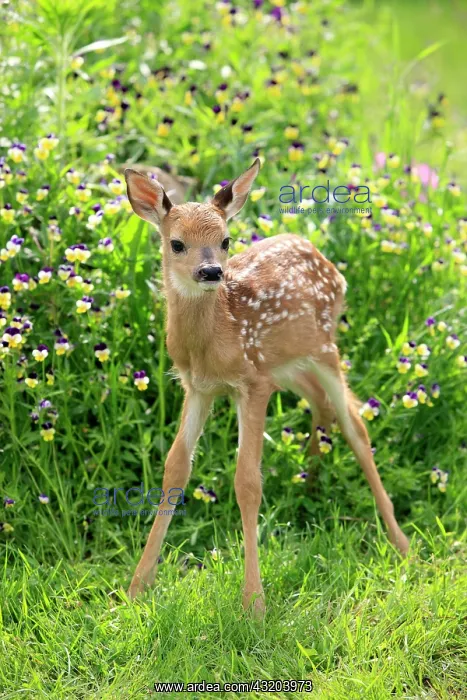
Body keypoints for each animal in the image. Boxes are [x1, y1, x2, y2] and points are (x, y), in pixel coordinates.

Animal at [124, 159, 410, 614]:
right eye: (176, 244)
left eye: (225, 240)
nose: (211, 272)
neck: (216, 336)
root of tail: (329, 263)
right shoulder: (198, 387)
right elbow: (175, 469)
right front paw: (137, 588)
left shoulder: (253, 384)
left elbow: (247, 482)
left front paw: (254, 603)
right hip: (289, 364)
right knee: (322, 405)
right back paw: (311, 481)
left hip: (325, 348)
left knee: (356, 424)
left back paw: (401, 543)